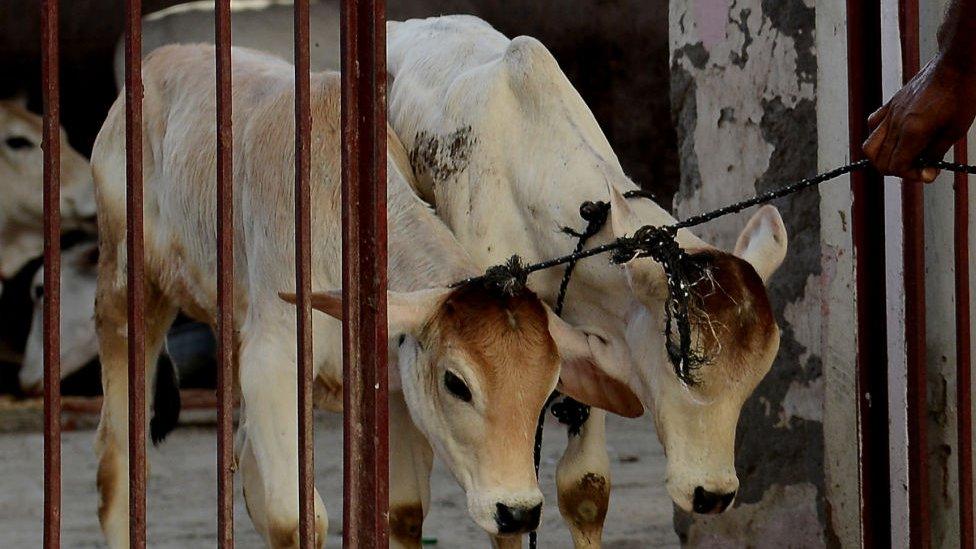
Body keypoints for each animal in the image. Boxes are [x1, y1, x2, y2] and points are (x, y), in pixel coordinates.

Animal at [91, 45, 636, 544]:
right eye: (456, 383)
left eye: (549, 388)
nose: (518, 511)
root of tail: (158, 59)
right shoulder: (272, 362)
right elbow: (296, 520)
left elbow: (399, 510)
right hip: (126, 295)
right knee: (116, 465)